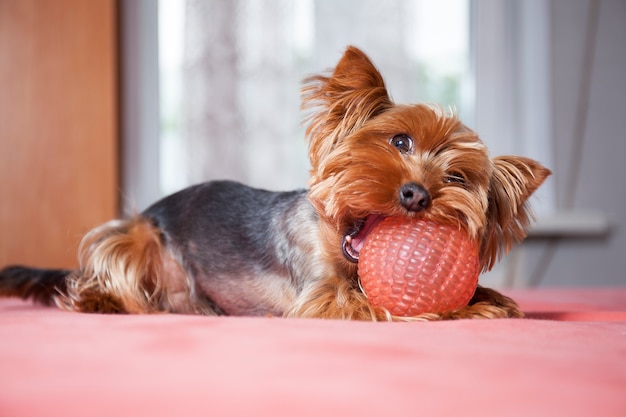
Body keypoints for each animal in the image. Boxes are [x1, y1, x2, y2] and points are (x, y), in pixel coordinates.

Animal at [0, 45, 544, 320]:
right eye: (400, 141)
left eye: (456, 177)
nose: (417, 195)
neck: (332, 232)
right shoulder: (321, 294)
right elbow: (379, 303)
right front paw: (465, 312)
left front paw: (489, 300)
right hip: (139, 235)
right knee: (105, 266)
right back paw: (101, 298)